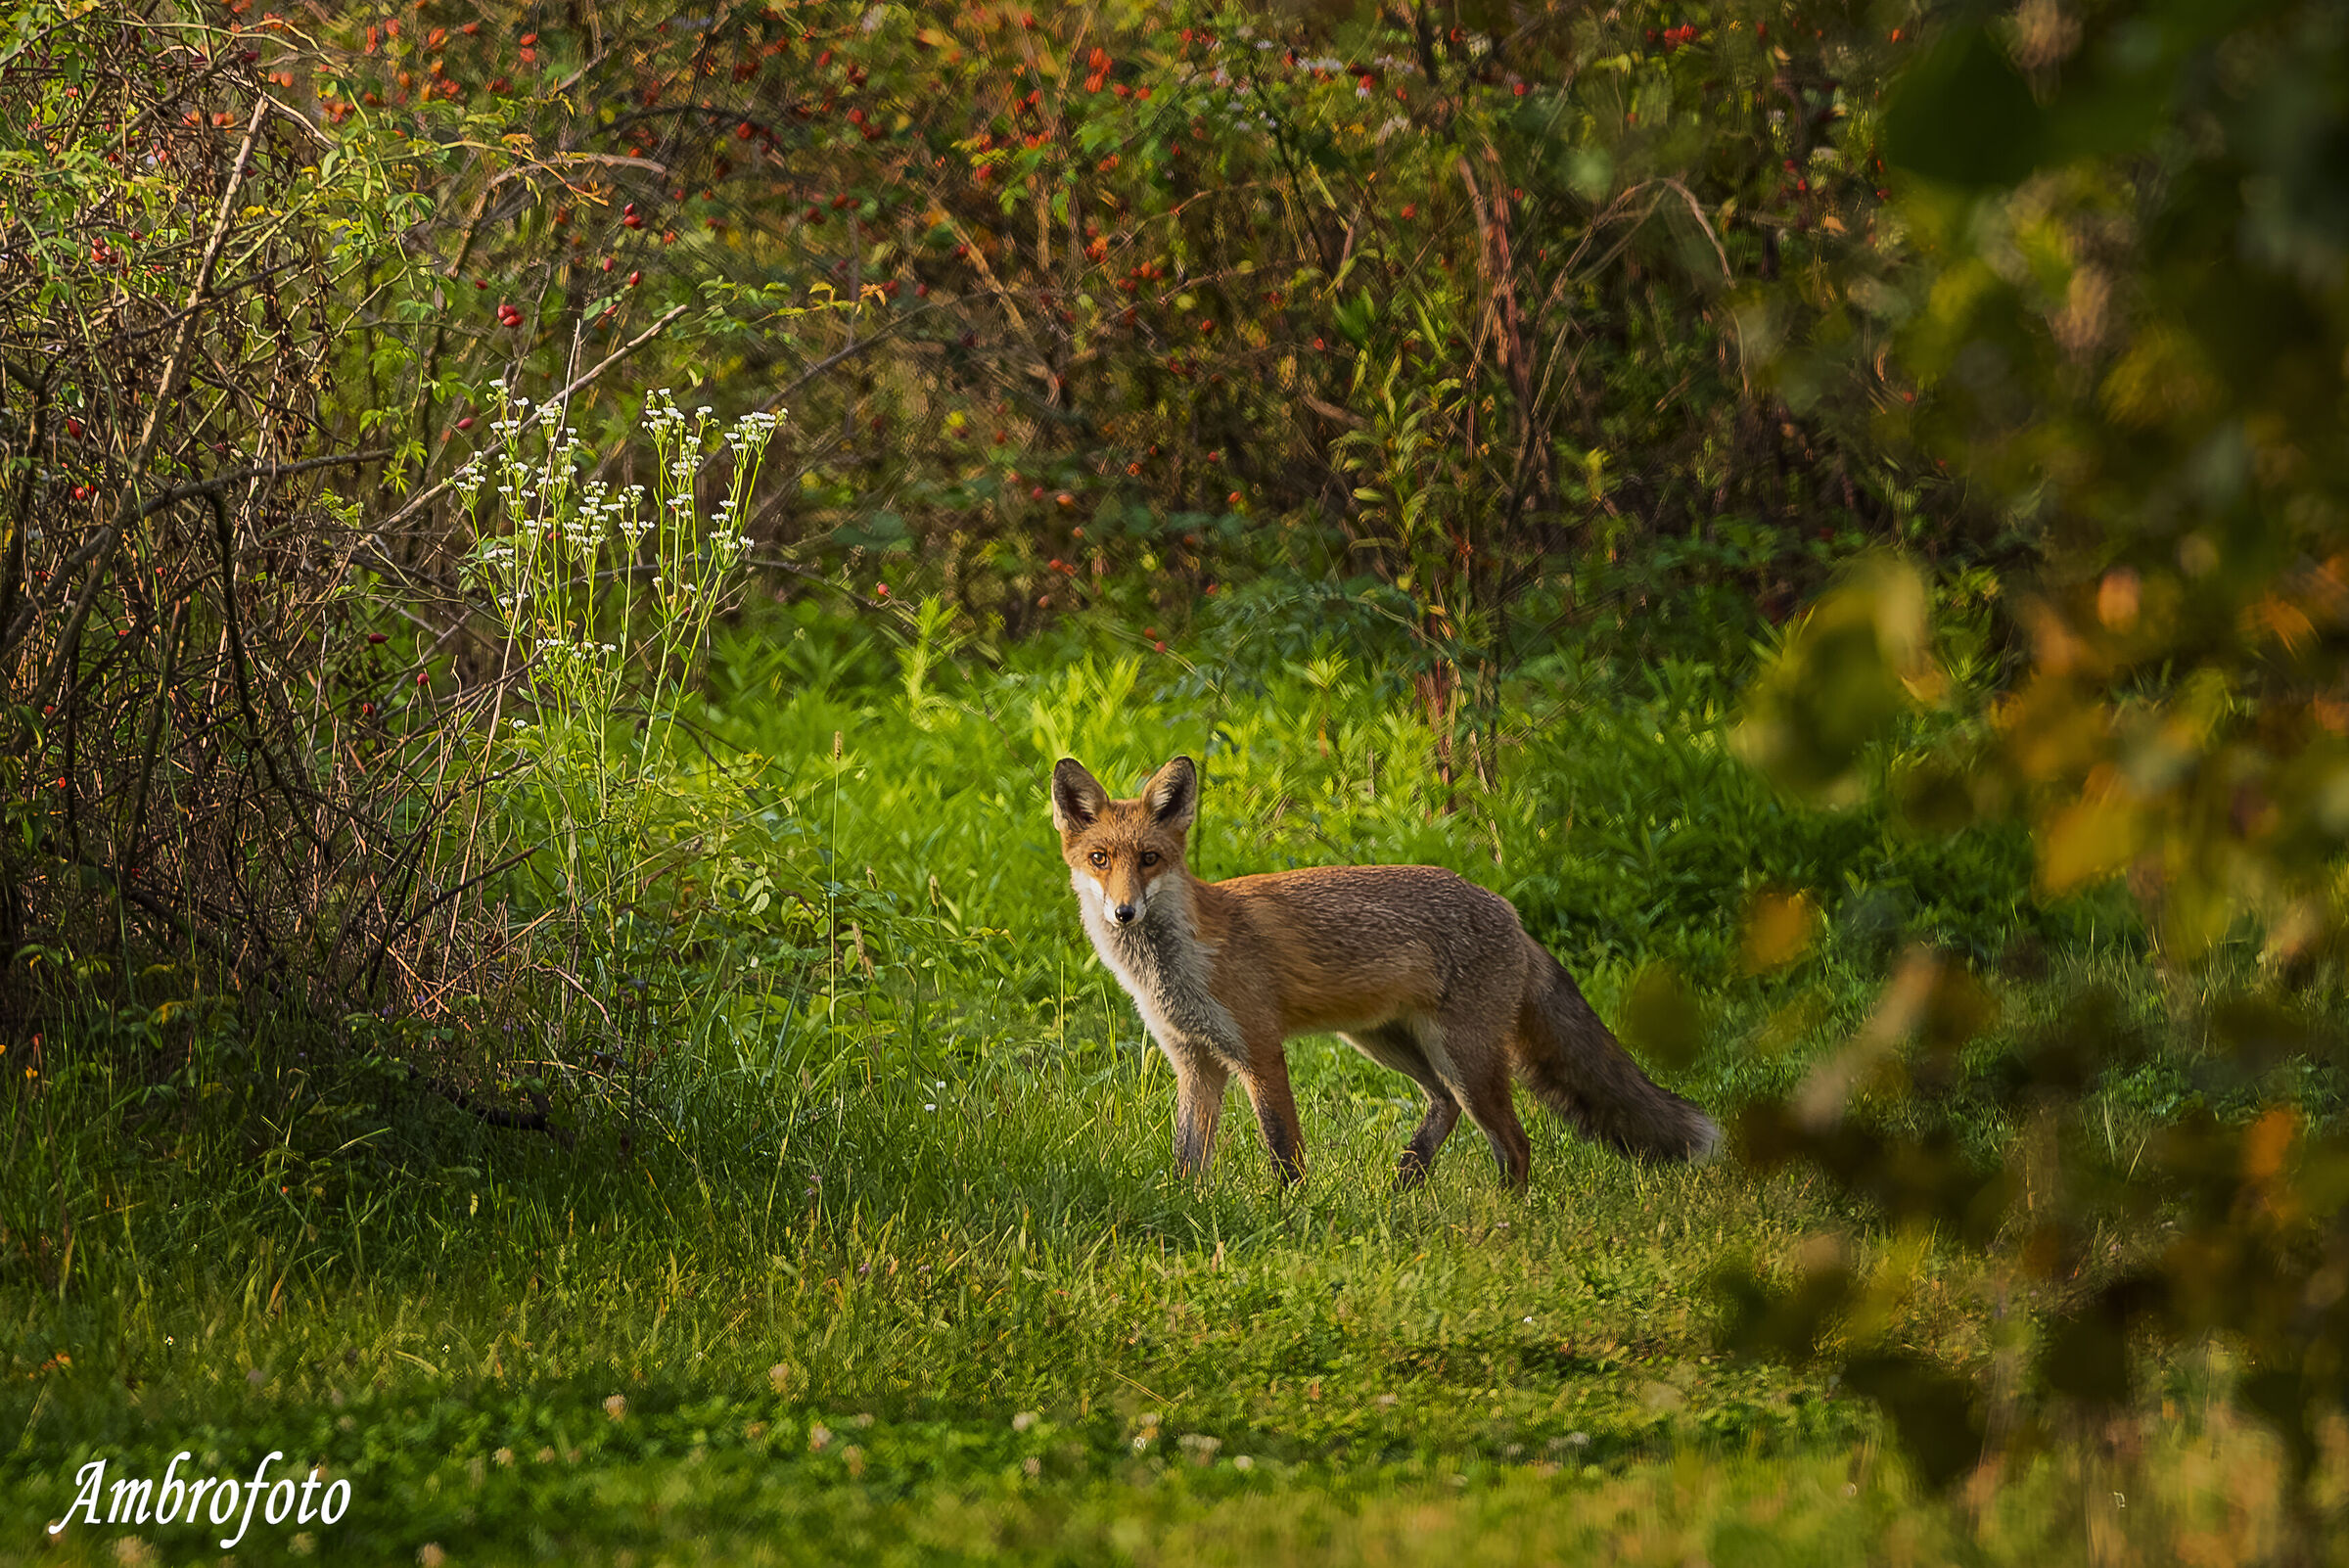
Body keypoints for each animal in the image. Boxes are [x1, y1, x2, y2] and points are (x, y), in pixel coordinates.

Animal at [1050, 754, 1720, 1189]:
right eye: (1100, 859)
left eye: (1150, 858)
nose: (1124, 911)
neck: (1177, 968)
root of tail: (1509, 910)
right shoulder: (1196, 1062)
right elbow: (1189, 1160)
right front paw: (1190, 1210)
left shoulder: (1259, 1052)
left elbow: (1284, 1152)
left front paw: (1292, 1218)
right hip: (1385, 1041)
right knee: (1445, 1106)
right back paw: (1410, 1181)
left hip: (1464, 1056)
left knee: (1515, 1143)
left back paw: (1507, 1218)